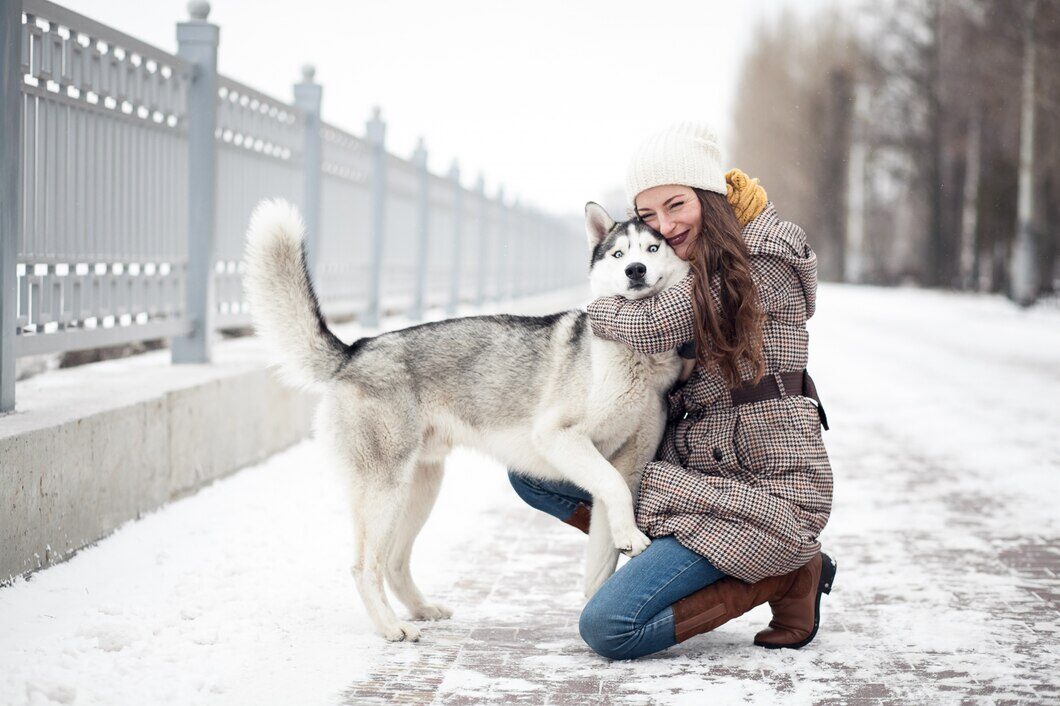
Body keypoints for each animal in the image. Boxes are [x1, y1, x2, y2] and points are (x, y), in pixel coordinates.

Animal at [242, 196, 686, 636]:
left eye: (653, 248)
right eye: (618, 254)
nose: (635, 270)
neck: (638, 353)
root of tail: (357, 349)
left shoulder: (629, 462)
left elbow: (606, 537)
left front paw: (602, 589)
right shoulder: (559, 437)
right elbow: (613, 488)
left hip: (420, 488)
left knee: (394, 562)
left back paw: (421, 609)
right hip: (384, 491)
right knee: (364, 567)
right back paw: (390, 627)